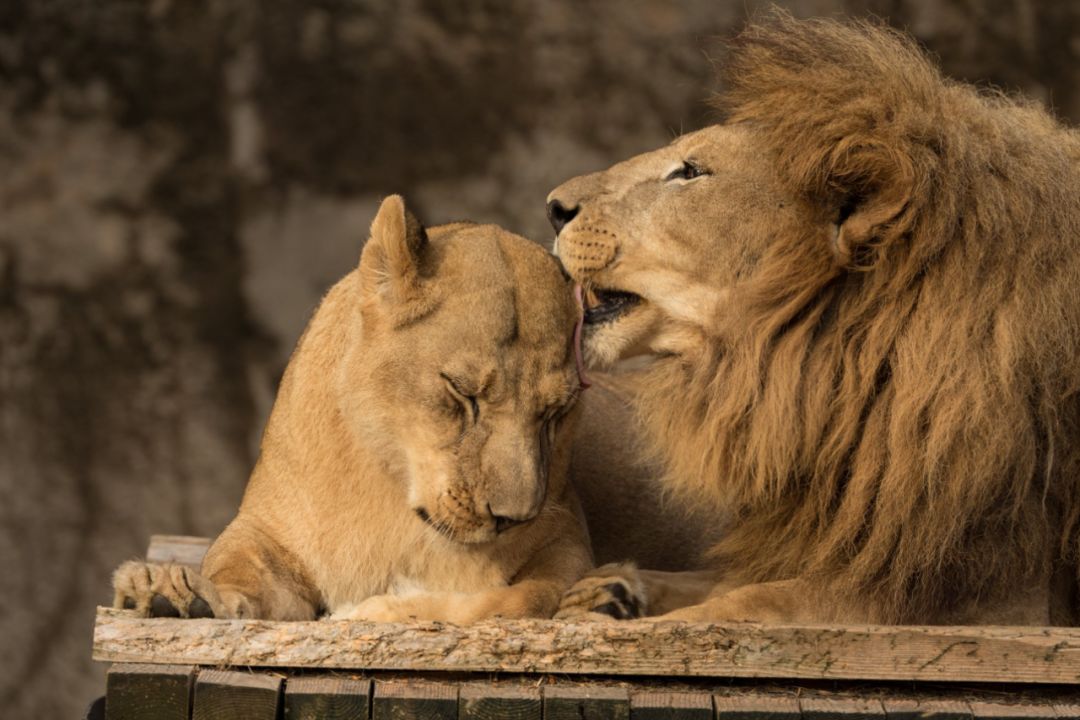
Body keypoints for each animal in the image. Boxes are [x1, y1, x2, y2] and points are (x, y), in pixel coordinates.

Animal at [111, 194, 591, 621]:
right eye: (462, 392)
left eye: (555, 413)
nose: (511, 519)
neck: (395, 488)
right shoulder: (265, 529)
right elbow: (236, 572)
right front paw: (177, 595)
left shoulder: (569, 541)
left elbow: (524, 598)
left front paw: (377, 608)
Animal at [548, 12, 1080, 626]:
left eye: (691, 171)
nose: (553, 207)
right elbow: (716, 581)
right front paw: (607, 589)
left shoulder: (991, 591)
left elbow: (748, 601)